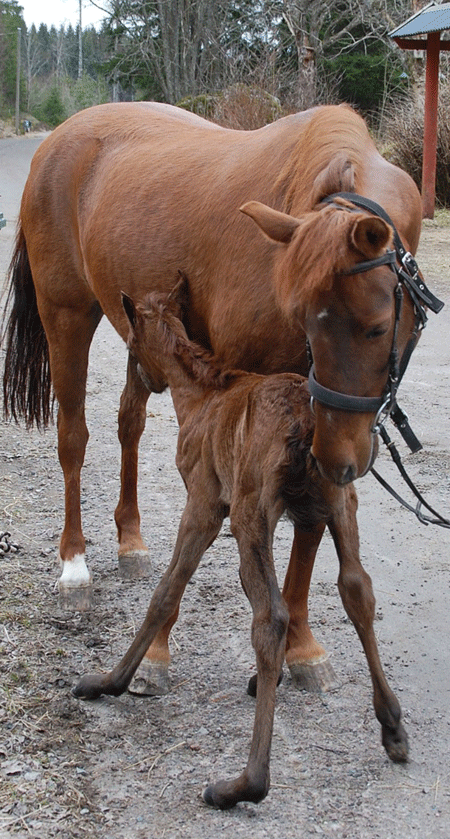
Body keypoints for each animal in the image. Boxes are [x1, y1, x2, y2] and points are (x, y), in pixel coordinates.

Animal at [2, 101, 422, 700]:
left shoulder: (307, 429)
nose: (344, 459)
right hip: (67, 315)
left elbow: (308, 533)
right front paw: (155, 655)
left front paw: (302, 648)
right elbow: (193, 540)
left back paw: (131, 540)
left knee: (129, 424)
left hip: (138, 340)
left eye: (380, 325)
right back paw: (74, 565)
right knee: (73, 439)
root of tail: (60, 138)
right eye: (304, 316)